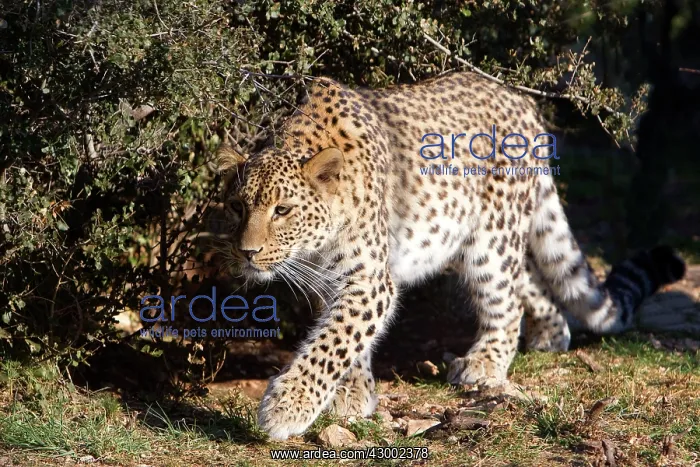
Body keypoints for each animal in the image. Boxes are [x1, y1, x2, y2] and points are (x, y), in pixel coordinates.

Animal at [215, 72, 686, 440]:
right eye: (237, 207)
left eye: (282, 210)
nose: (247, 252)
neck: (314, 247)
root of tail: (520, 100)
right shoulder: (328, 282)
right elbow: (345, 338)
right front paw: (354, 392)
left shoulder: (370, 279)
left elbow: (335, 341)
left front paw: (287, 406)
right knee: (529, 280)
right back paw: (552, 336)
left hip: (490, 239)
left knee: (507, 300)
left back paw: (486, 363)